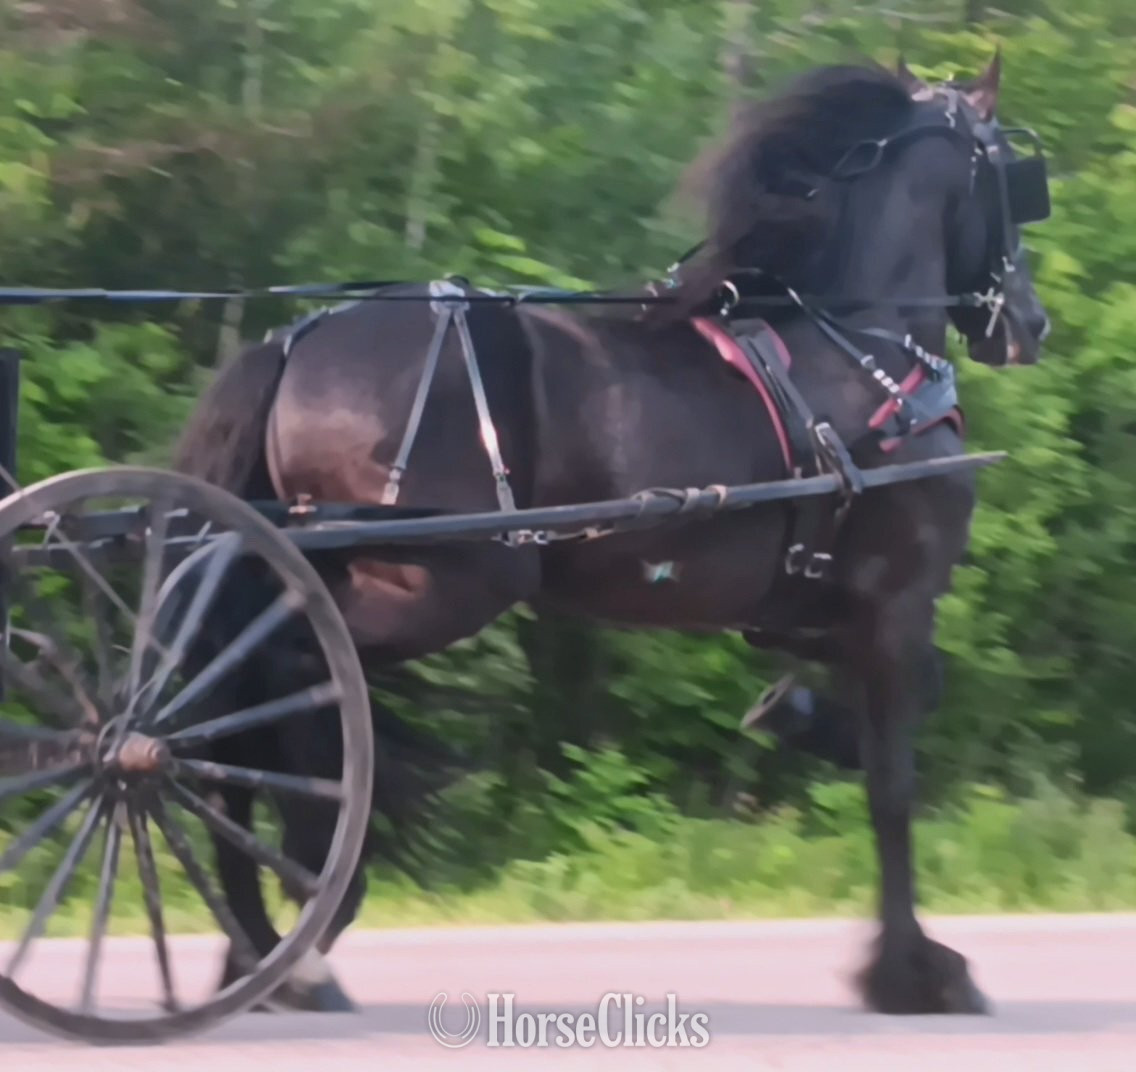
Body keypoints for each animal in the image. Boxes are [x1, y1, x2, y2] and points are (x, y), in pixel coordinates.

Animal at [171, 52, 1053, 1016]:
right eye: (1016, 176)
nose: (1029, 322)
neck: (864, 350)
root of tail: (297, 339)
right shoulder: (896, 604)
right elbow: (894, 784)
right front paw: (916, 968)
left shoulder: (810, 609)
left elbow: (881, 719)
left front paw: (796, 718)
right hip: (438, 584)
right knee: (289, 678)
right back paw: (308, 904)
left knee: (242, 705)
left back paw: (258, 943)